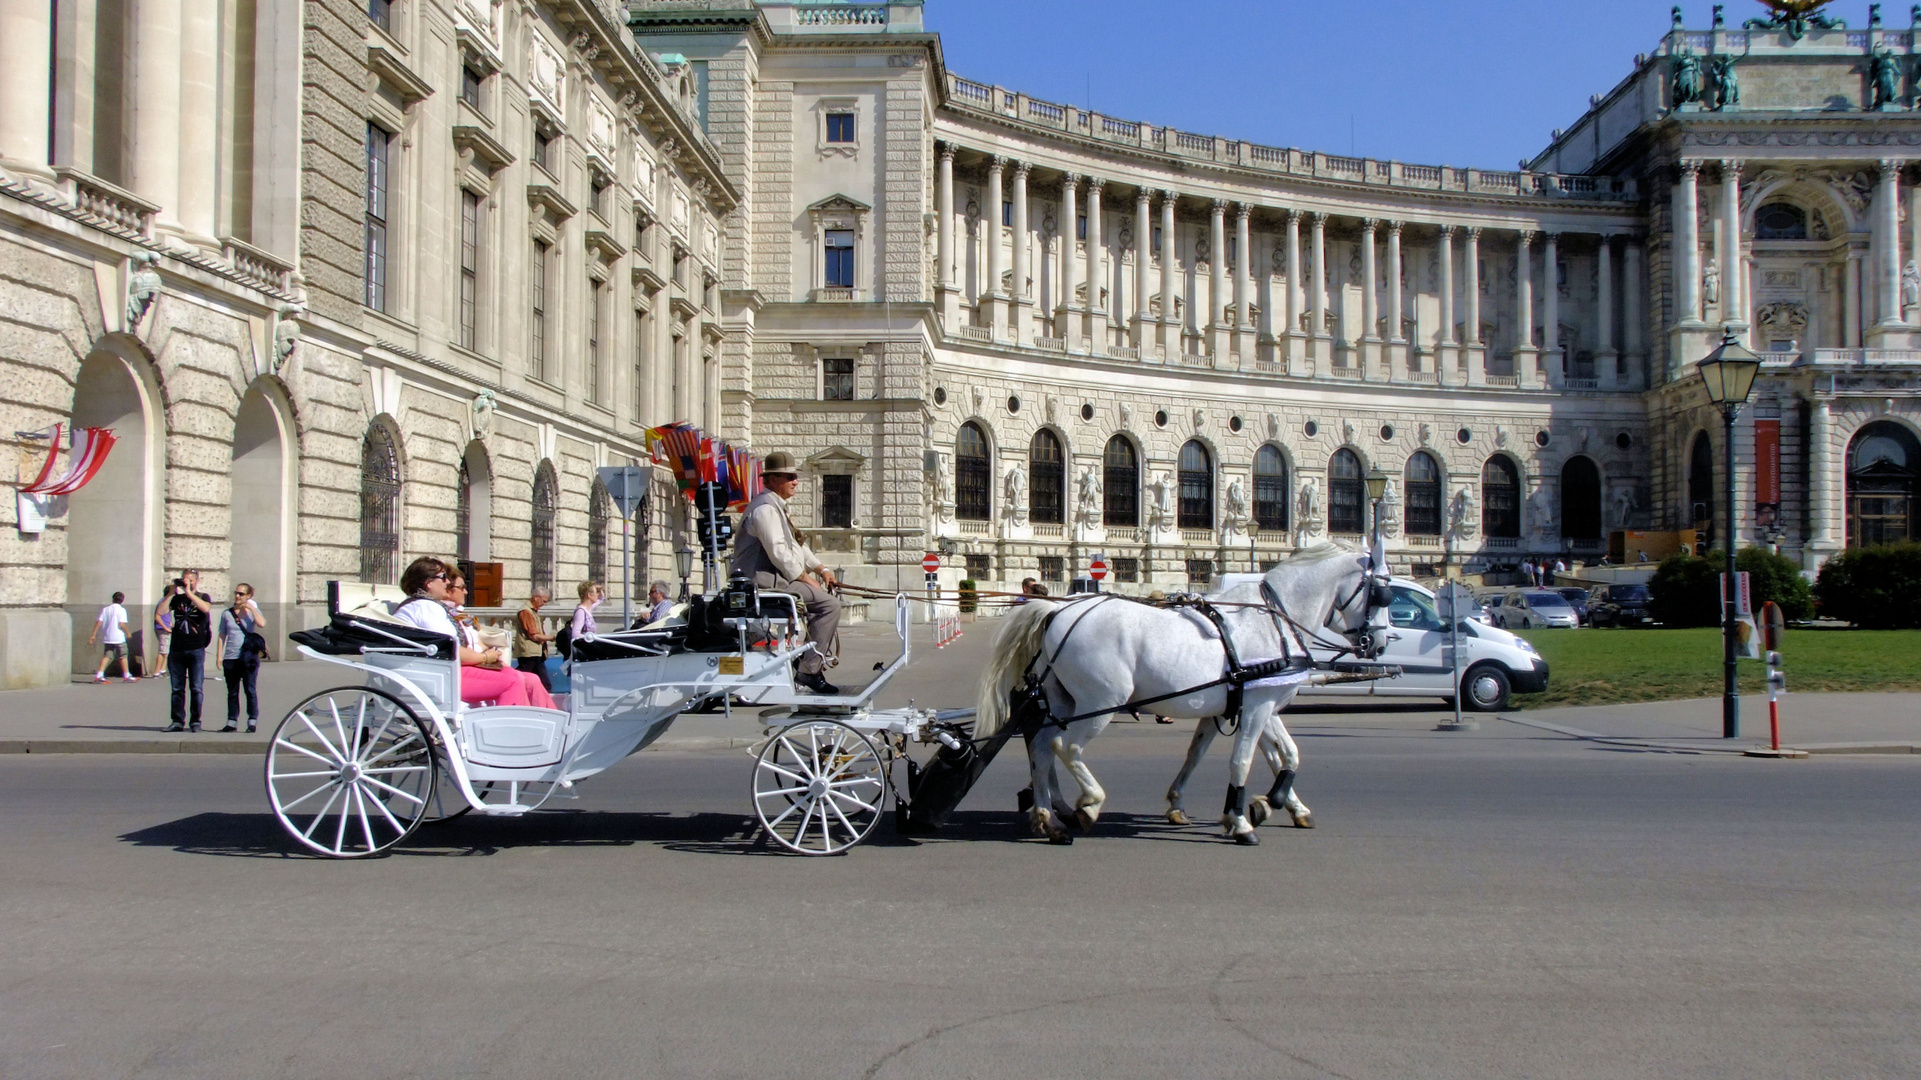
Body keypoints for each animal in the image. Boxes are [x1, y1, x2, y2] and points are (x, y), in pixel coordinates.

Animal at [975, 545, 1383, 841]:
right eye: (1381, 593)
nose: (1376, 643)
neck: (1272, 620)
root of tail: (1057, 612)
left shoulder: (1258, 704)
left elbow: (1281, 754)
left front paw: (1278, 804)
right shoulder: (1256, 707)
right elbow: (1244, 760)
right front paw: (1243, 819)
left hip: (1063, 700)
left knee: (1042, 749)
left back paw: (1048, 818)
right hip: (1100, 702)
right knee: (1066, 746)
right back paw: (1088, 804)